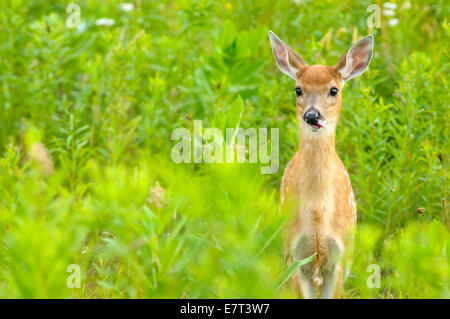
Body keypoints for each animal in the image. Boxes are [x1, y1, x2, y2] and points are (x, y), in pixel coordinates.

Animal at [268, 31, 374, 298]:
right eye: (298, 89)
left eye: (333, 90)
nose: (312, 115)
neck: (317, 212)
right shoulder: (295, 252)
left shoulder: (339, 256)